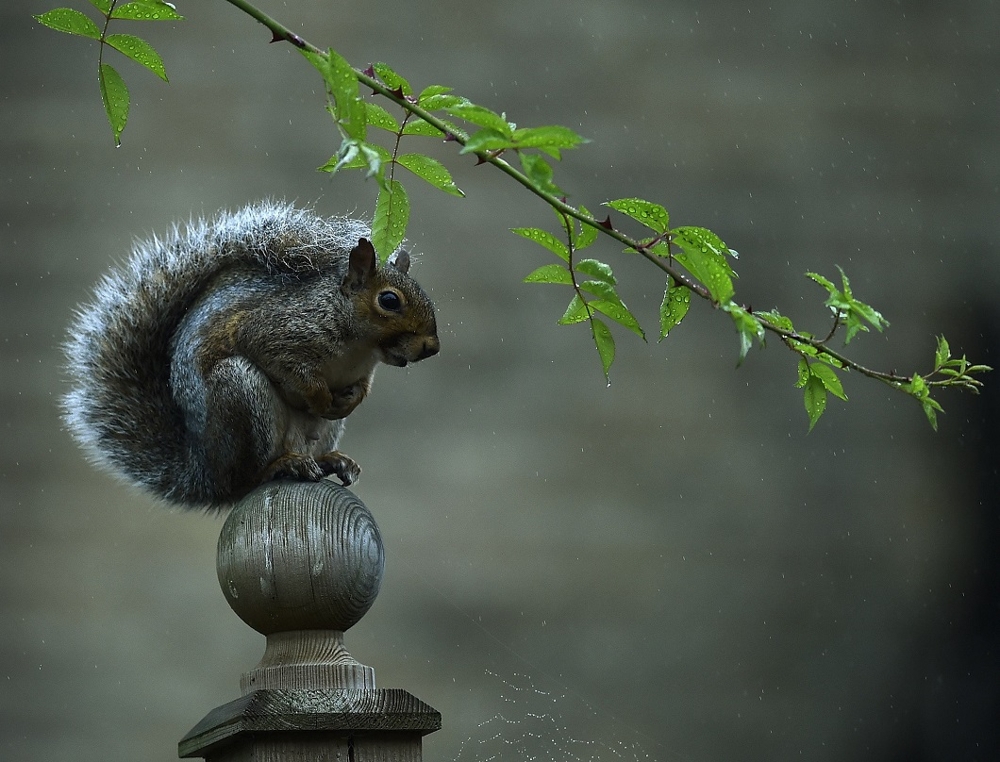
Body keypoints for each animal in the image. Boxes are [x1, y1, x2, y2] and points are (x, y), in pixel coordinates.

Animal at [61, 200, 438, 510]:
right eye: (389, 300)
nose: (431, 347)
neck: (359, 347)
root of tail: (207, 474)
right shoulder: (272, 332)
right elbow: (291, 370)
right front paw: (319, 398)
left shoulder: (363, 371)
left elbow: (361, 388)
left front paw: (349, 401)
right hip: (239, 392)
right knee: (250, 479)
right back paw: (282, 465)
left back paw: (331, 461)